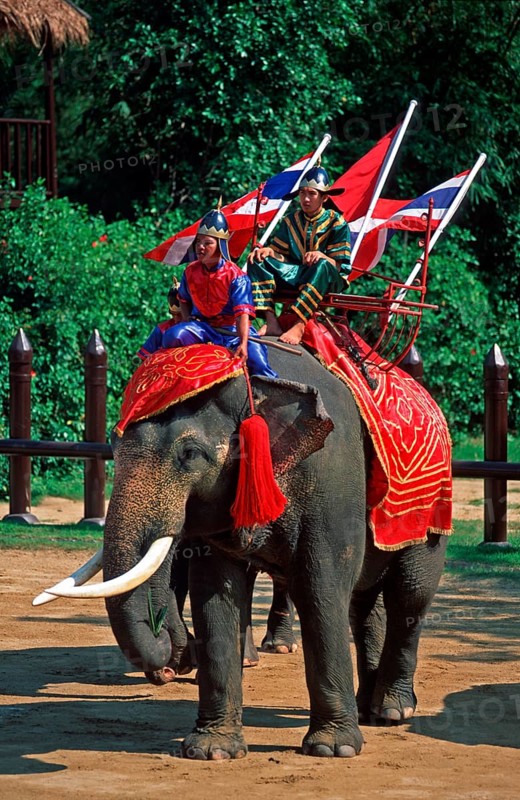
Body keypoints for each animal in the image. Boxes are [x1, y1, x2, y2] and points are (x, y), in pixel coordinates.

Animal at [38, 342, 449, 760]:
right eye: (114, 447)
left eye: (190, 453)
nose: (169, 657)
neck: (256, 381)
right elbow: (216, 594)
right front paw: (212, 750)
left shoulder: (330, 481)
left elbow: (321, 589)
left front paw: (332, 749)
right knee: (364, 605)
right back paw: (369, 710)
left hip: (429, 514)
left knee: (409, 596)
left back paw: (393, 711)